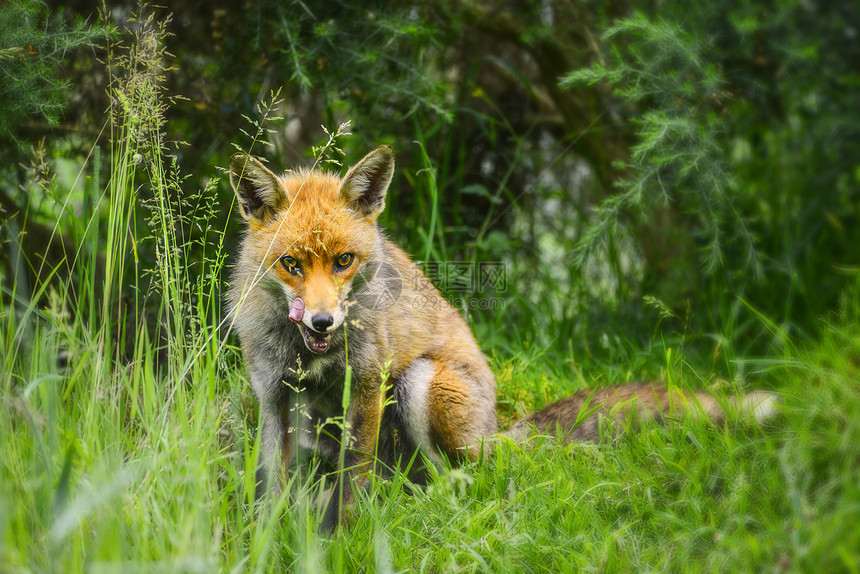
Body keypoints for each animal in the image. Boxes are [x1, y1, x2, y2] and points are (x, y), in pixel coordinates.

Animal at [225, 145, 776, 532]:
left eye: (344, 261)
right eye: (291, 264)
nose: (322, 322)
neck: (308, 355)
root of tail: (497, 426)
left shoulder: (364, 385)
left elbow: (350, 484)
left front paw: (342, 538)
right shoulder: (273, 395)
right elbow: (270, 484)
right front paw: (265, 540)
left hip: (420, 384)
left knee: (468, 478)